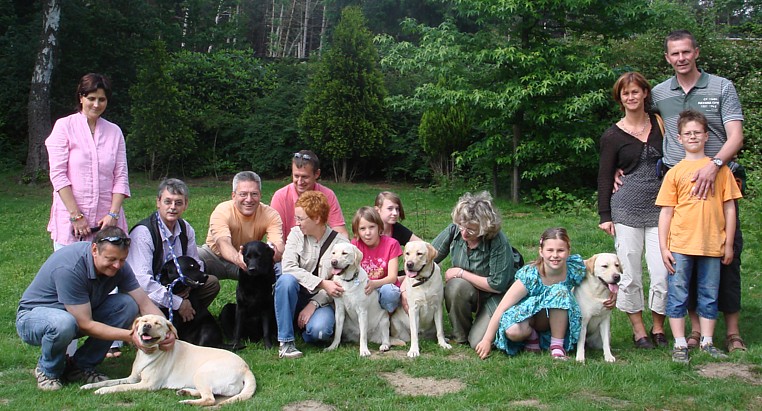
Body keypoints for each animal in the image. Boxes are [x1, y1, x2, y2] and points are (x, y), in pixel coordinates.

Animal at [81, 316, 255, 408]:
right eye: (143, 320)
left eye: (158, 323)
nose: (146, 326)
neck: (148, 353)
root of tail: (246, 368)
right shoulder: (132, 378)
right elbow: (111, 382)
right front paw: (89, 386)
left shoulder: (147, 385)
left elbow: (119, 388)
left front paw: (102, 391)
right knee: (211, 393)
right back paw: (185, 392)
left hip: (202, 373)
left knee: (210, 399)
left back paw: (187, 401)